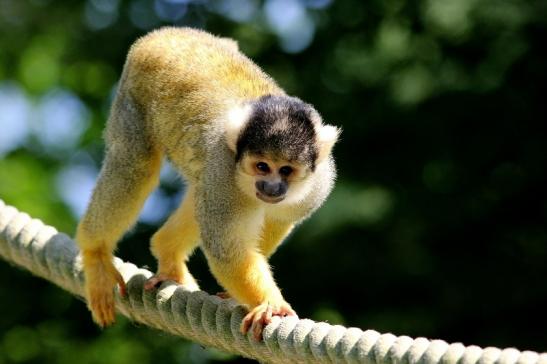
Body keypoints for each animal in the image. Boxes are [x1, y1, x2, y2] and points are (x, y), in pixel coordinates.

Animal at [76, 27, 340, 340]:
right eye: (262, 166)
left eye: (286, 170)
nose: (271, 188)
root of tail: (170, 33)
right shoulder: (223, 169)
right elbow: (227, 249)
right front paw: (269, 304)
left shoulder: (318, 184)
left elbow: (276, 221)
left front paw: (237, 296)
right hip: (133, 96)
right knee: (136, 165)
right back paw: (95, 253)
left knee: (195, 189)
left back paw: (166, 251)